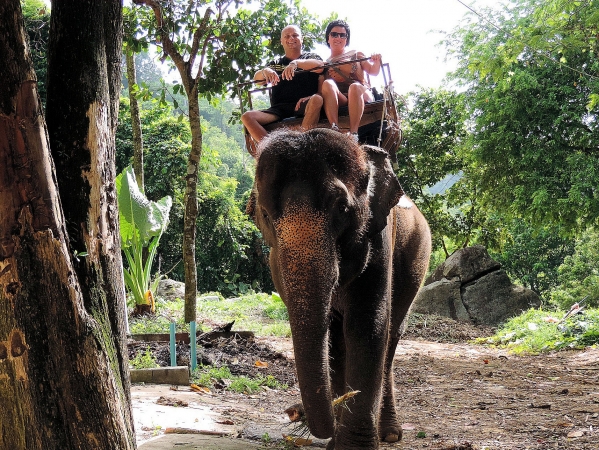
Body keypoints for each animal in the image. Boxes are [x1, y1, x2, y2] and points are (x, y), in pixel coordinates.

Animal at [246, 128, 434, 448]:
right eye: (267, 216)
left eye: (342, 209)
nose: (294, 414)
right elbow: (333, 334)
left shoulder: (379, 238)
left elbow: (368, 325)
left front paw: (350, 445)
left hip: (417, 257)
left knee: (392, 333)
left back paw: (389, 433)